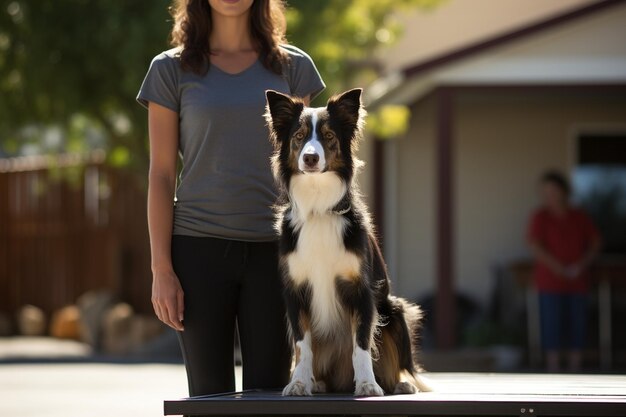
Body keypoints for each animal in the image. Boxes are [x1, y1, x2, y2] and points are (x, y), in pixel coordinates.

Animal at [264, 88, 428, 396]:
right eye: (299, 136)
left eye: (328, 136)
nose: (310, 158)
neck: (318, 205)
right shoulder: (295, 291)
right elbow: (302, 347)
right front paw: (299, 382)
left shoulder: (361, 291)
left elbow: (361, 346)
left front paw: (367, 384)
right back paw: (317, 382)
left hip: (395, 310)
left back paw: (399, 383)